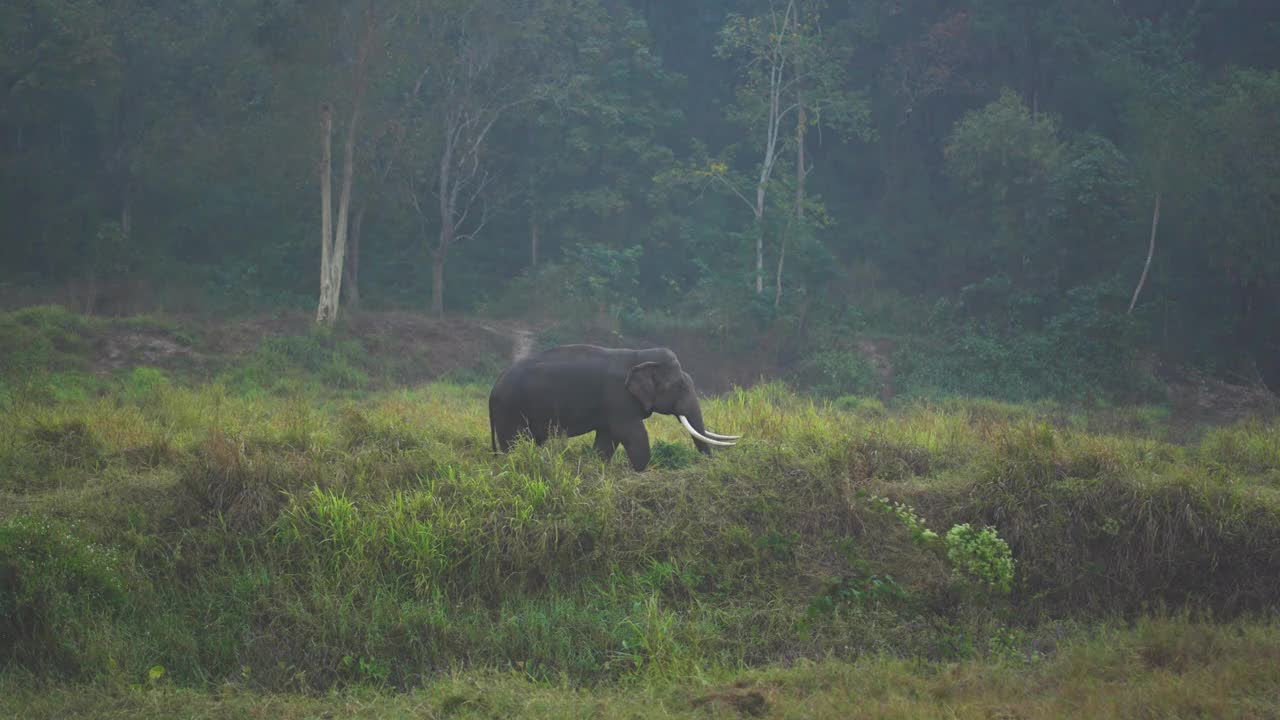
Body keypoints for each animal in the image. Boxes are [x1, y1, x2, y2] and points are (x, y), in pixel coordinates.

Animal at [486, 343, 742, 471]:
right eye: (678, 386)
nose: (710, 465)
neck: (638, 355)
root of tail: (493, 387)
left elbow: (607, 437)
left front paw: (599, 469)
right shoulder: (618, 397)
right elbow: (631, 433)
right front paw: (642, 471)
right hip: (510, 411)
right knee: (515, 443)